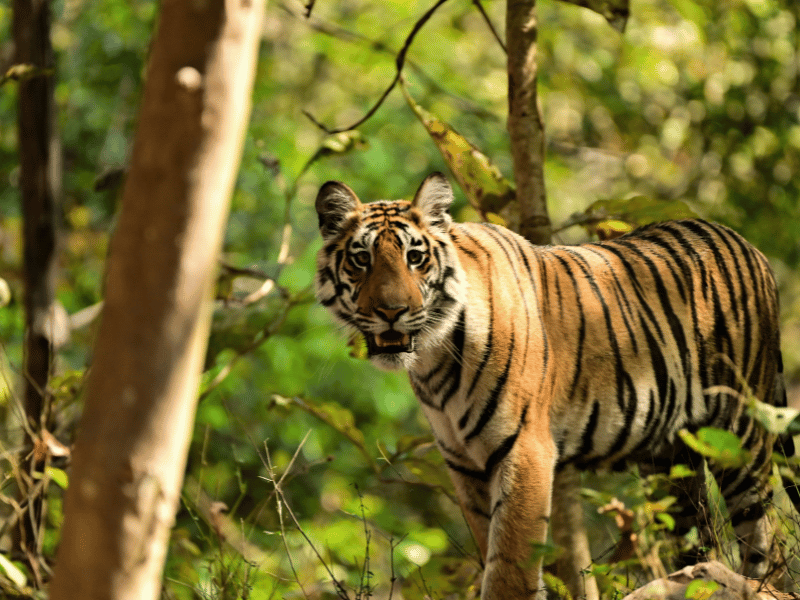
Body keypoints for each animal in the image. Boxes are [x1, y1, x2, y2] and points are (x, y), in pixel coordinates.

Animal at [314, 172, 799, 599]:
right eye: (361, 259)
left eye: (415, 258)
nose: (391, 311)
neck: (434, 357)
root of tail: (748, 246)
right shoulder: (464, 463)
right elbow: (493, 550)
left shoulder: (525, 449)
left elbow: (509, 565)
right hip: (670, 461)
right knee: (696, 540)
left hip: (740, 437)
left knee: (766, 541)